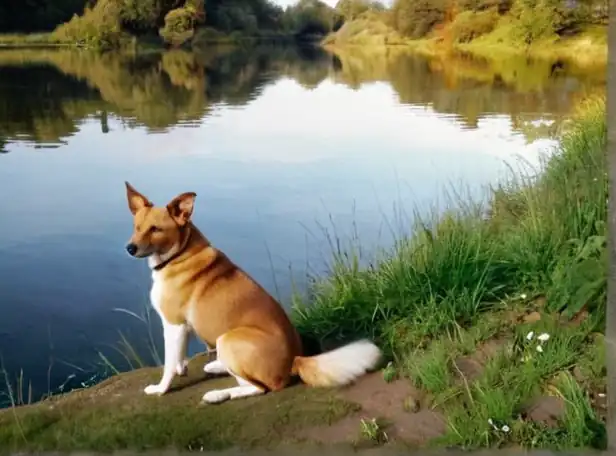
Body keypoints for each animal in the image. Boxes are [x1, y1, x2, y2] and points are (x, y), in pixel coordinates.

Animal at [123, 182, 382, 402]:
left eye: (155, 229)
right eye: (136, 227)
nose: (130, 248)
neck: (179, 253)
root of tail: (294, 360)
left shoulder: (173, 323)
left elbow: (168, 364)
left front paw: (161, 389)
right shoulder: (182, 327)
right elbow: (178, 355)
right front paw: (182, 367)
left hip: (228, 339)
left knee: (259, 388)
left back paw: (217, 395)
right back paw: (216, 367)